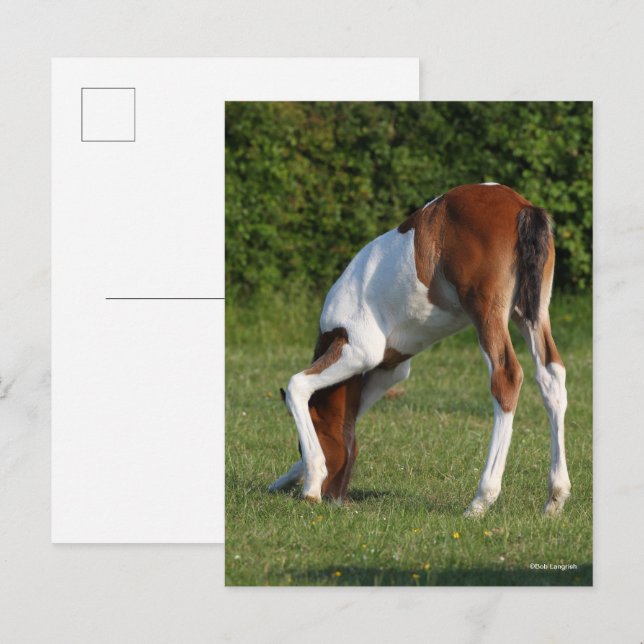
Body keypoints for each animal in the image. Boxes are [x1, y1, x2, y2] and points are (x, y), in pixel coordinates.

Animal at [269, 183, 571, 517]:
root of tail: (521, 206)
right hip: (530, 313)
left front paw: (310, 485)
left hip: (487, 313)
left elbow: (298, 385)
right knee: (551, 377)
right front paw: (287, 480)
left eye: (300, 444)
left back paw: (481, 499)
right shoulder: (388, 369)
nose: (335, 498)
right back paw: (555, 497)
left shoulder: (358, 351)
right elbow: (354, 415)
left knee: (506, 377)